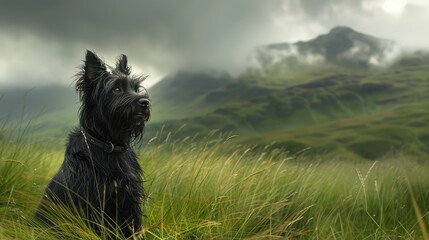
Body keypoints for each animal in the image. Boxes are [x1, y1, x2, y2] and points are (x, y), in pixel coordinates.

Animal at [36, 50, 150, 238]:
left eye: (136, 88)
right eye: (116, 89)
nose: (145, 102)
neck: (110, 147)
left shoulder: (129, 200)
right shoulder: (92, 203)